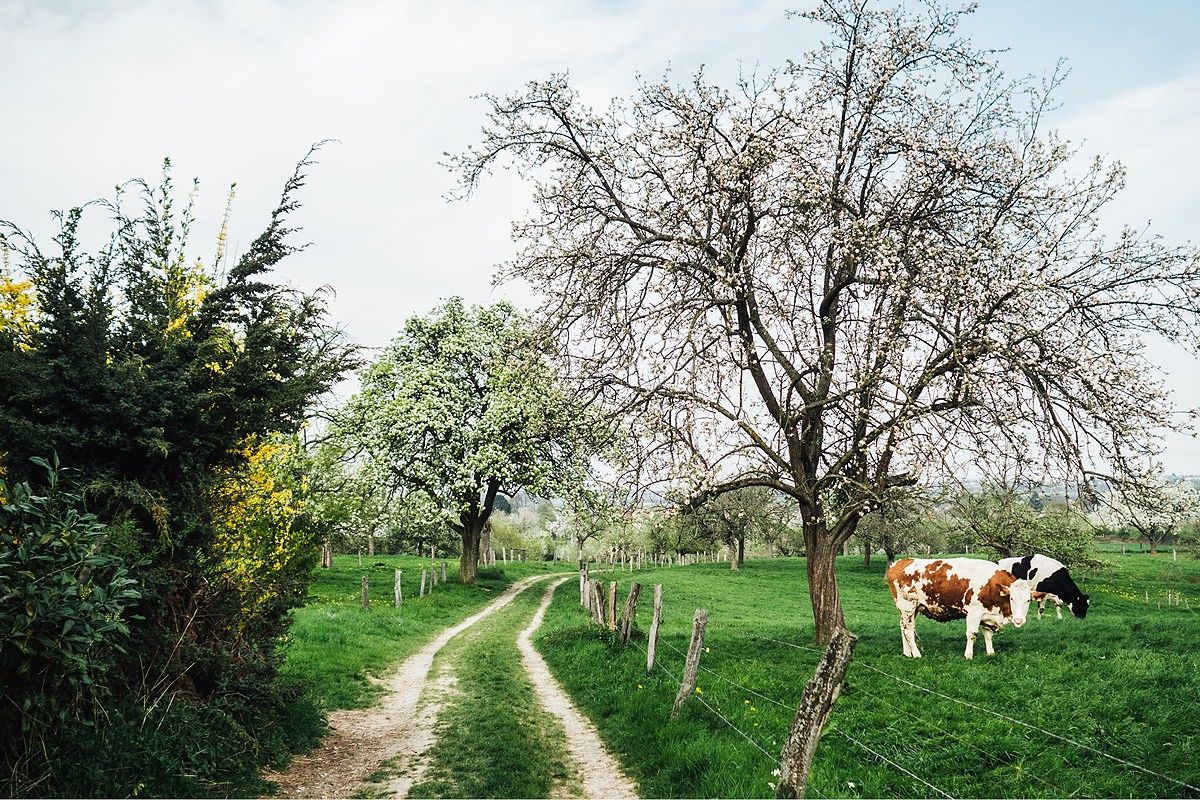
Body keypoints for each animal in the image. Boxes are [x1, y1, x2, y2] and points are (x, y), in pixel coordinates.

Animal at [883, 561, 1032, 662]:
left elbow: (988, 635)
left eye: (1028, 600)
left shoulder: (987, 615)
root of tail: (900, 562)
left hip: (911, 609)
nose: (1019, 620)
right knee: (908, 631)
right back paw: (916, 654)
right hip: (907, 606)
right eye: (1012, 598)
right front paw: (968, 655)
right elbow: (972, 634)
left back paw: (907, 653)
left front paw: (990, 653)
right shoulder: (974, 613)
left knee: (904, 627)